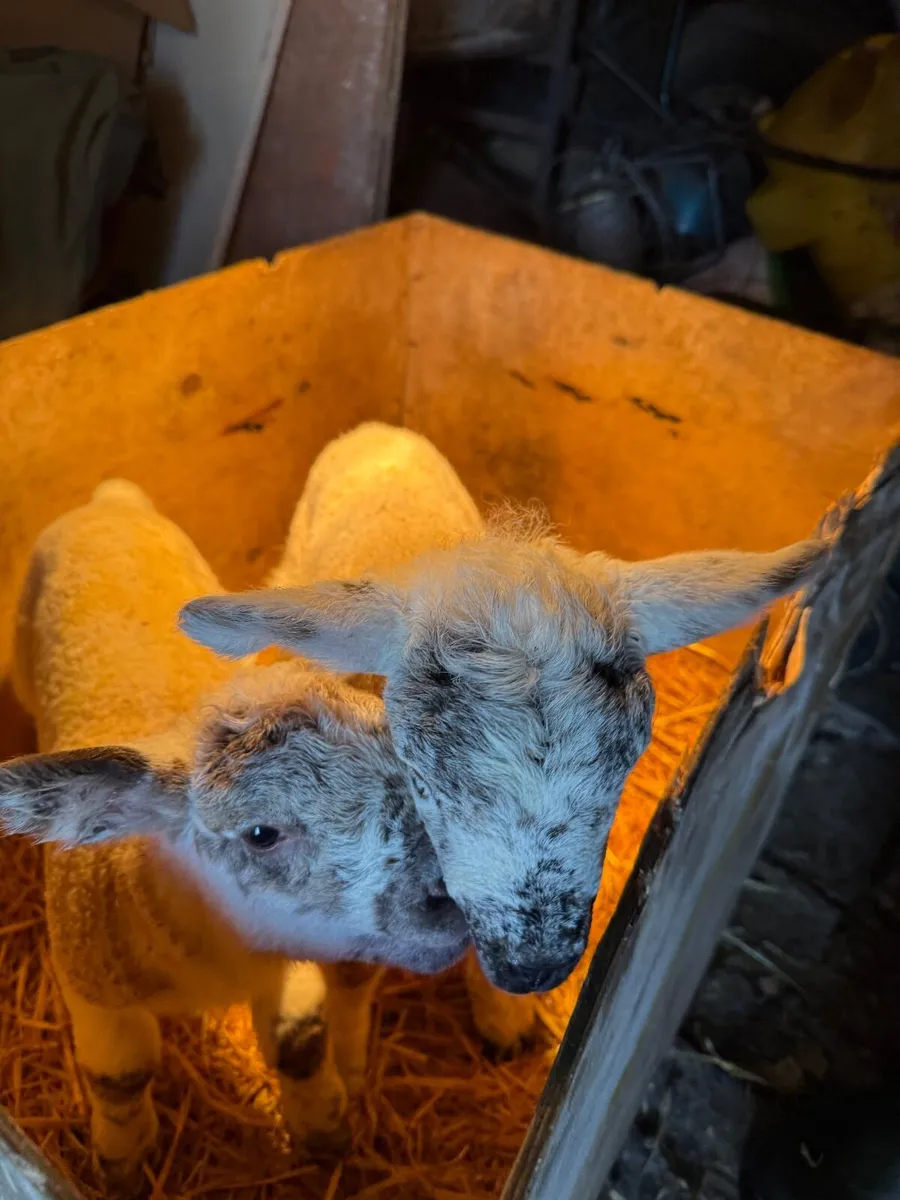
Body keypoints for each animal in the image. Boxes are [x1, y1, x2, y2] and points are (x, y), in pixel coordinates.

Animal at [0, 479, 469, 1187]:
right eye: (260, 833)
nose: (456, 896)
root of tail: (109, 498)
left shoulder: (290, 955)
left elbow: (300, 1042)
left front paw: (324, 1128)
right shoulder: (92, 984)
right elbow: (120, 1076)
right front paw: (122, 1159)